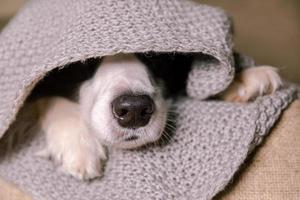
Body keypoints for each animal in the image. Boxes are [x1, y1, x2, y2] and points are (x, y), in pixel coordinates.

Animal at [34, 53, 282, 180]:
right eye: (84, 60)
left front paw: (242, 79)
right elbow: (45, 98)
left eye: (156, 56)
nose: (134, 110)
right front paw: (78, 143)